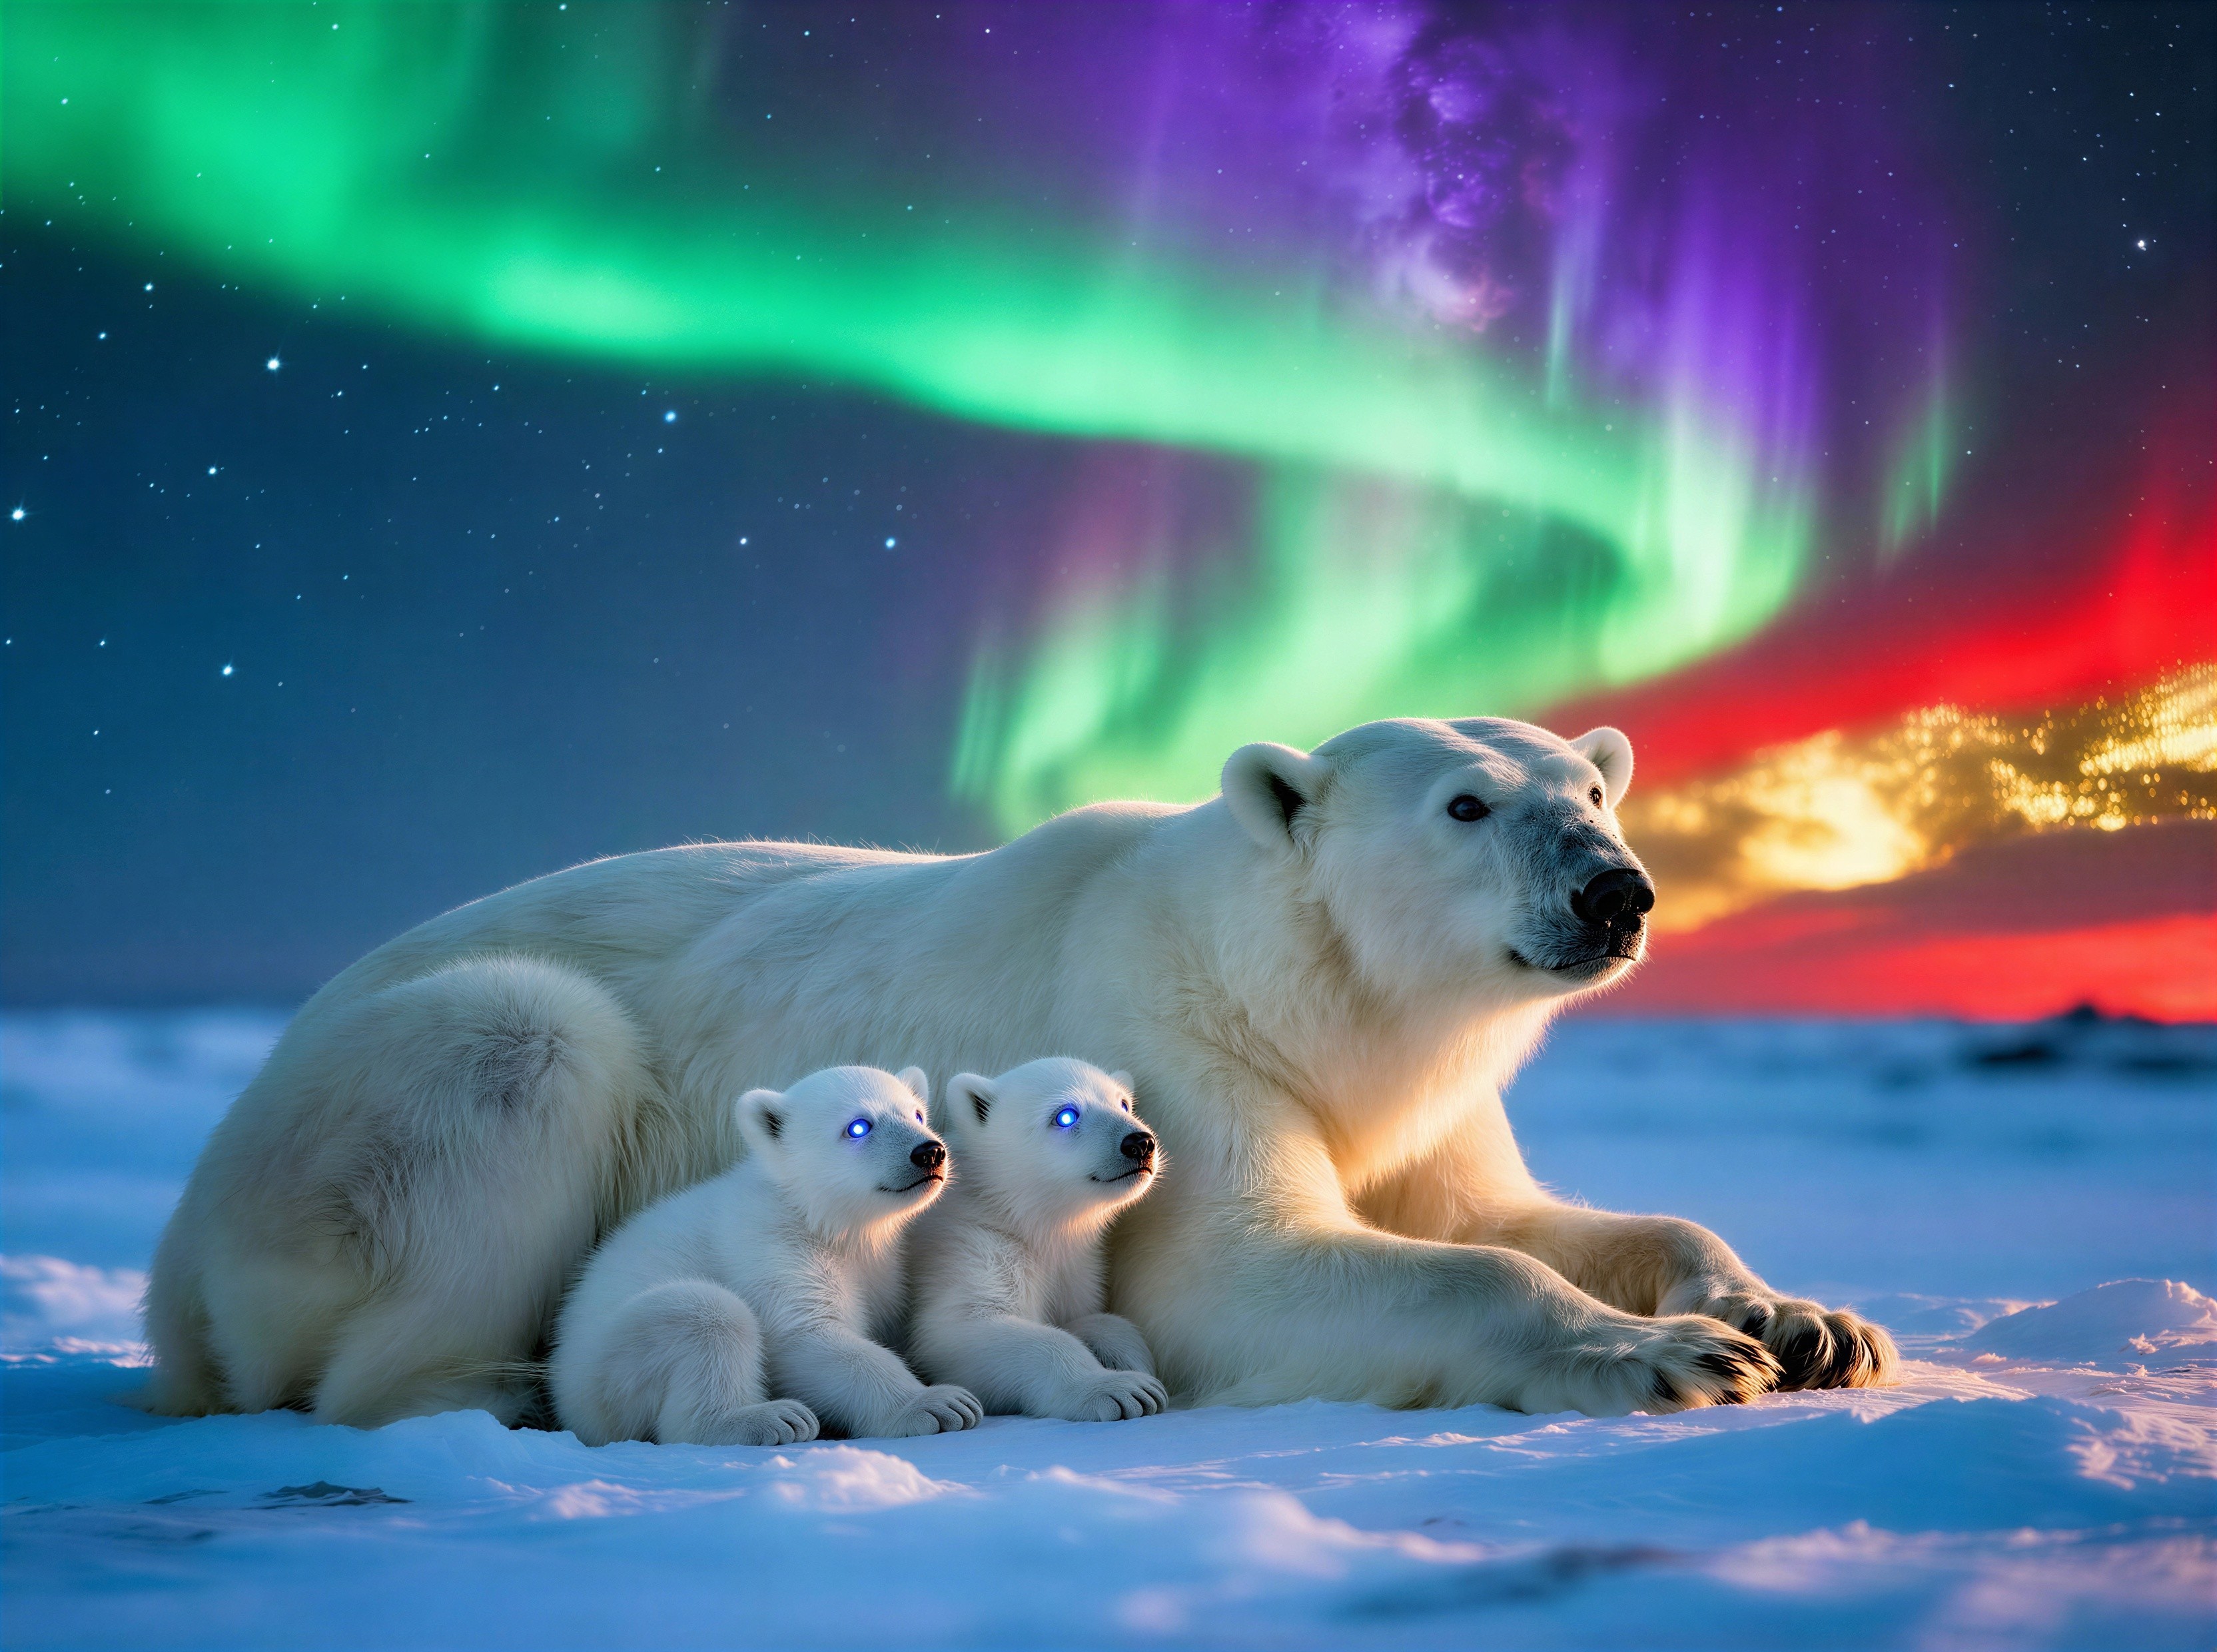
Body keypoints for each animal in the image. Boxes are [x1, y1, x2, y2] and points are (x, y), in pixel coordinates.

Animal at [549, 1065, 982, 1444]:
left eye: (918, 1113)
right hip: (609, 1372)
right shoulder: (774, 1245)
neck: (816, 1216)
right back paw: (766, 1419)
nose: (929, 1152)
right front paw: (939, 1404)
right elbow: (808, 1337)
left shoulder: (880, 1270)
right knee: (707, 1313)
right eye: (859, 1126)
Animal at [904, 1058, 1168, 1421]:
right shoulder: (970, 1244)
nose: (1139, 1143)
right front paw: (1122, 1389)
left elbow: (1086, 1317)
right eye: (1066, 1116)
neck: (1015, 1213)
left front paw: (1131, 1360)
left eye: (1124, 1104)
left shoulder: (1073, 1267)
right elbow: (956, 1330)